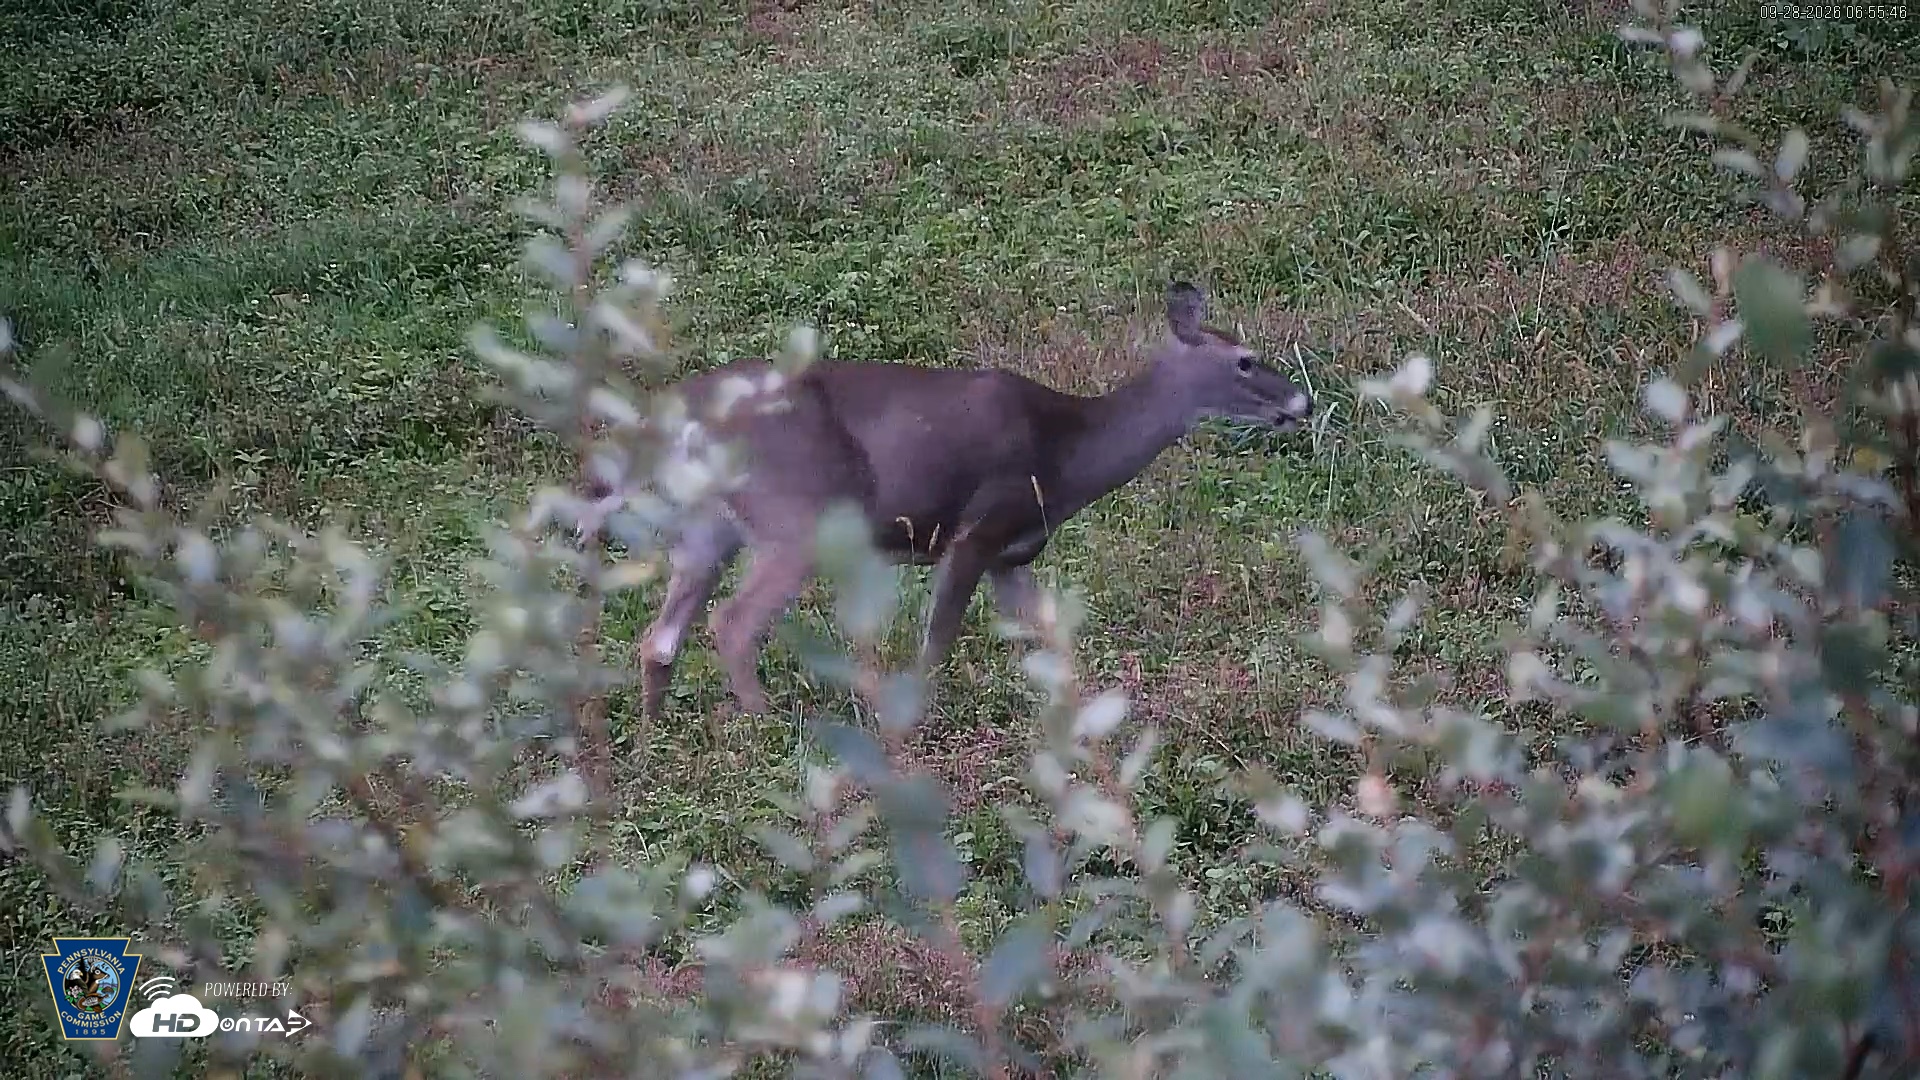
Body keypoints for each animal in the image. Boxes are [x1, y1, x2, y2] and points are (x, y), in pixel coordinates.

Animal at [635, 281, 1313, 722]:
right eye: (1245, 360)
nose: (1301, 402)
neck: (1069, 454)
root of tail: (686, 407)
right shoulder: (978, 528)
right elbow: (936, 643)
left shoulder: (1014, 555)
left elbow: (1054, 640)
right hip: (796, 514)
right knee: (731, 623)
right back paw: (765, 725)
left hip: (708, 525)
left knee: (660, 636)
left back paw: (652, 738)